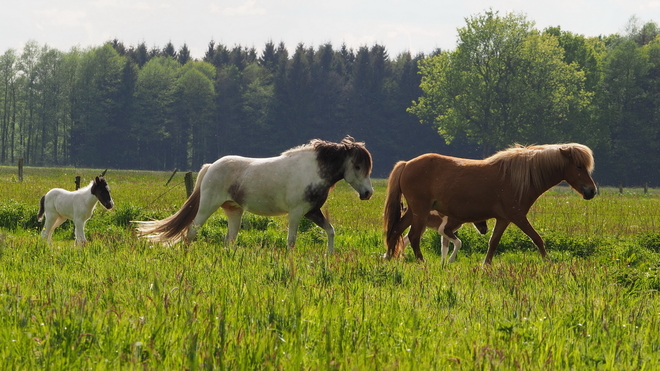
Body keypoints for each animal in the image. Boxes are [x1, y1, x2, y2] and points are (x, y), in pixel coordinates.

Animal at [133, 137, 376, 253]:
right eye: (357, 166)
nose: (368, 193)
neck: (313, 170)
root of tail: (211, 166)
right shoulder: (297, 213)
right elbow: (291, 241)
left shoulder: (312, 212)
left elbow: (330, 231)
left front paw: (329, 256)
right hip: (207, 207)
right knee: (192, 231)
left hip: (234, 211)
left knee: (229, 239)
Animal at [382, 143, 600, 264]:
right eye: (579, 166)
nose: (591, 191)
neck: (519, 178)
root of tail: (406, 164)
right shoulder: (518, 217)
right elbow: (538, 239)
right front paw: (549, 263)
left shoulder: (504, 219)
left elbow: (493, 243)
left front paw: (485, 266)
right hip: (420, 210)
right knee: (413, 236)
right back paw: (421, 262)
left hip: (413, 211)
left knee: (396, 230)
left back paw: (389, 258)